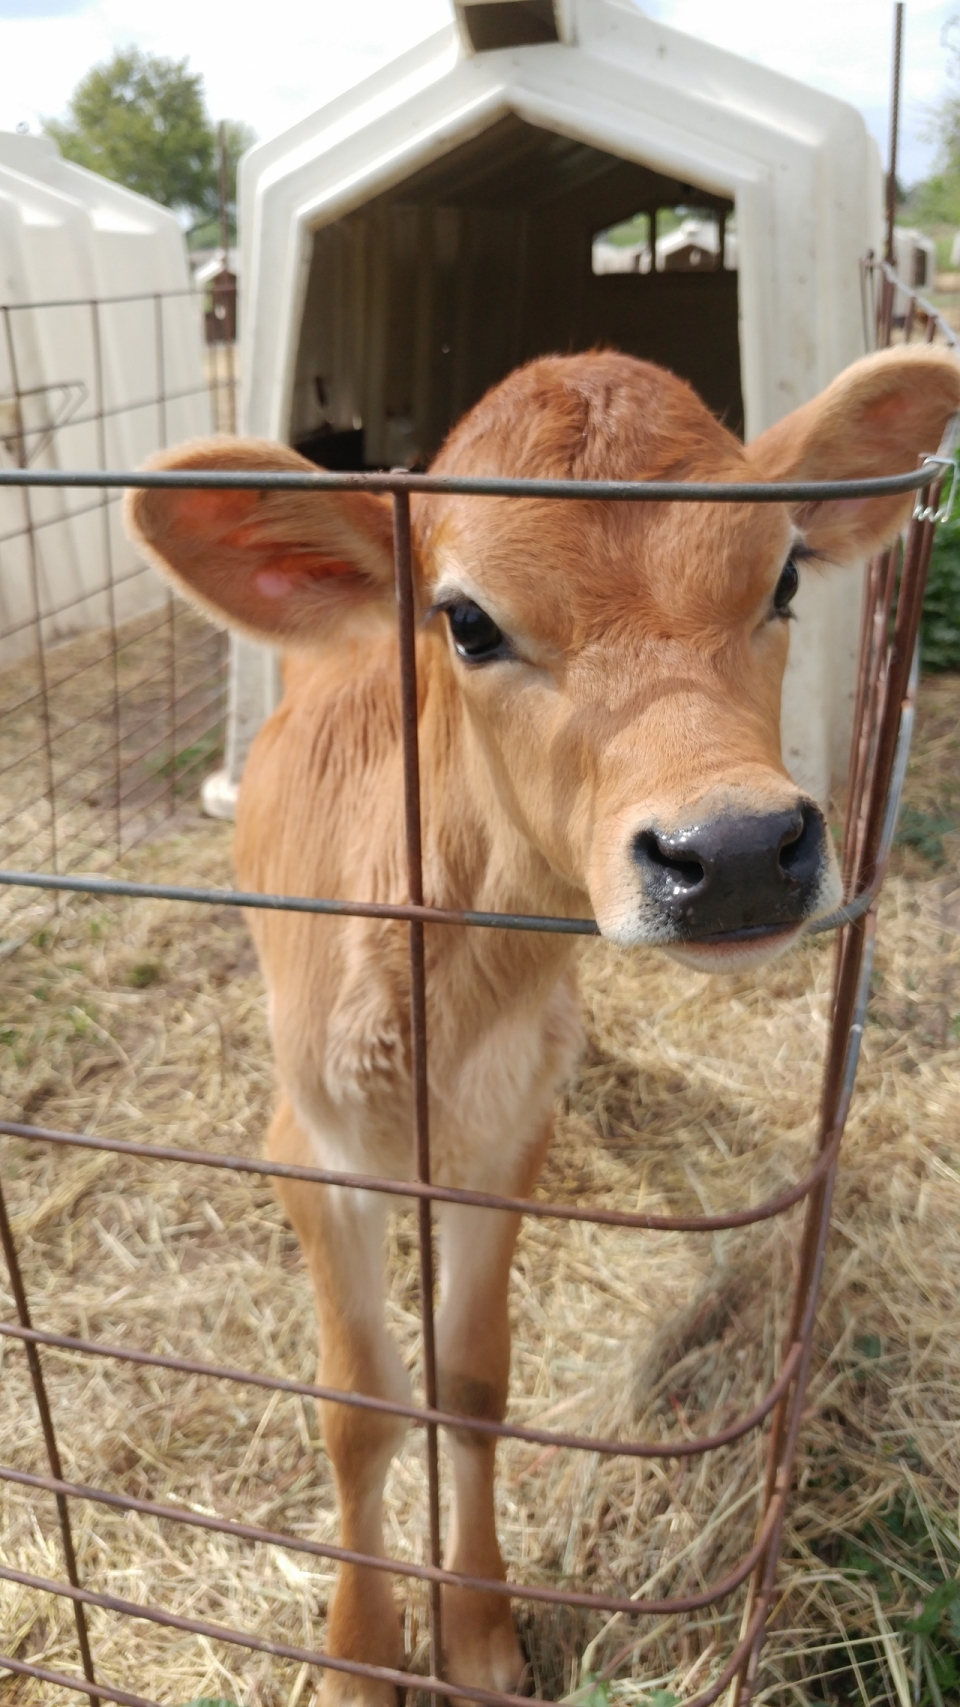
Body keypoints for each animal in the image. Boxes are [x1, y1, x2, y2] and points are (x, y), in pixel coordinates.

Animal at [127, 349, 956, 1707]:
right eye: (467, 622)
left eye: (784, 576)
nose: (736, 850)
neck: (447, 992)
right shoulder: (308, 1145)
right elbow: (360, 1405)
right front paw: (360, 1655)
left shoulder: (513, 1128)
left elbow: (471, 1379)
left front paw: (477, 1632)